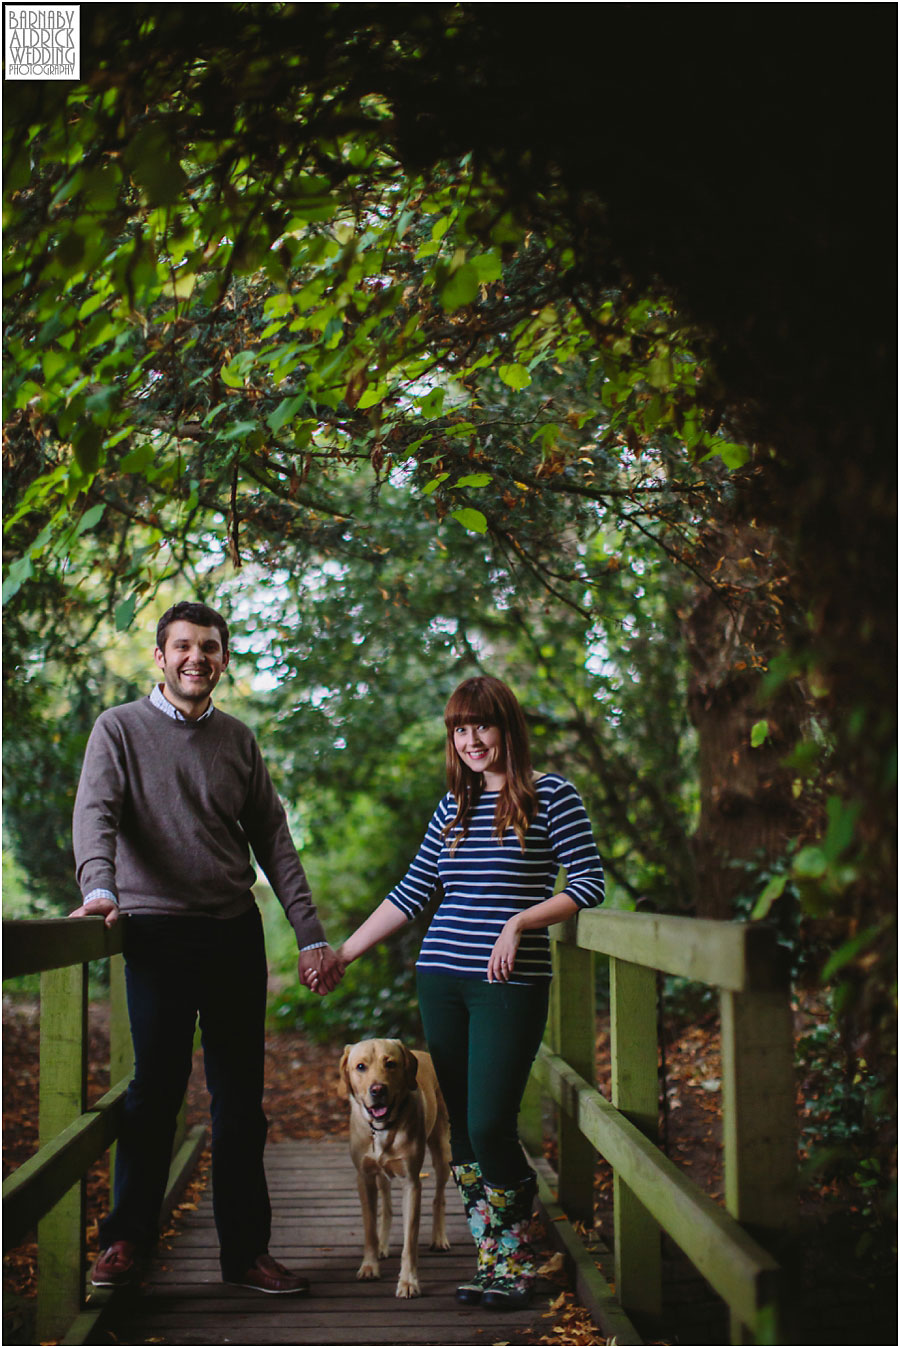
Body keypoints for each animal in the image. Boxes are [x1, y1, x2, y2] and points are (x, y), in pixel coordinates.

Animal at [339, 1035, 452, 1299]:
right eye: (361, 1067)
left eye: (390, 1063)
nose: (378, 1089)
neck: (381, 1128)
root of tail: (422, 1052)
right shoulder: (364, 1178)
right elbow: (370, 1229)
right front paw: (369, 1265)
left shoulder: (411, 1183)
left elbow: (410, 1241)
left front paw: (408, 1282)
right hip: (380, 1175)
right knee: (387, 1208)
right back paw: (383, 1245)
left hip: (442, 1152)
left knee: (439, 1197)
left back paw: (439, 1237)